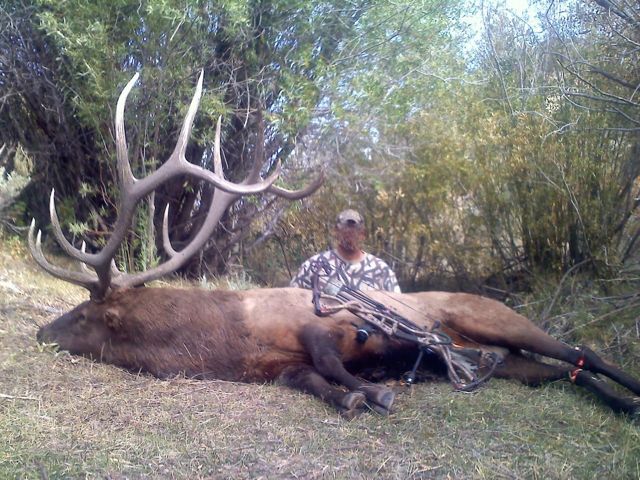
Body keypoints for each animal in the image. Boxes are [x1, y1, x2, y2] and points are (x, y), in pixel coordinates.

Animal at [32, 70, 640, 416]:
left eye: (82, 314)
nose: (40, 332)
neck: (227, 341)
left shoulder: (321, 321)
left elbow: (330, 357)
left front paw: (376, 390)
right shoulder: (278, 368)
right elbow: (315, 379)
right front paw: (356, 394)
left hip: (494, 317)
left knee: (583, 352)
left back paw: (629, 394)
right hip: (508, 361)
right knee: (562, 370)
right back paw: (617, 404)